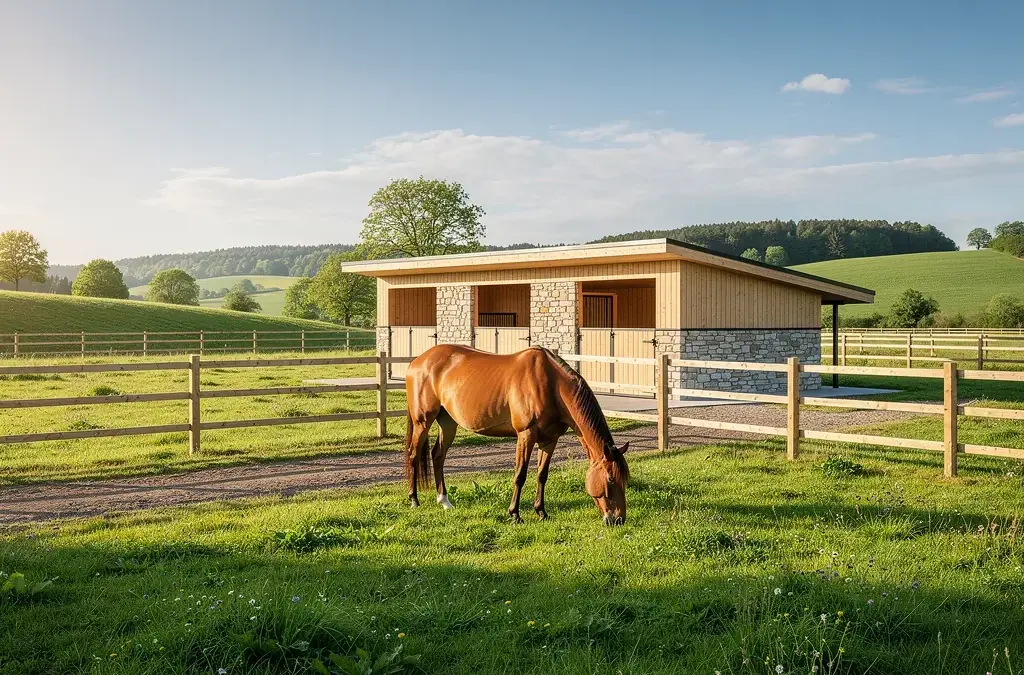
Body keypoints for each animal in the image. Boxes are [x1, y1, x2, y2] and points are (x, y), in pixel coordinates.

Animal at [403, 344, 629, 525]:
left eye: (625, 479)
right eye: (610, 479)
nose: (618, 519)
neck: (551, 384)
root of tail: (417, 361)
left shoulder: (549, 440)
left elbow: (542, 475)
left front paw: (541, 512)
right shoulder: (525, 435)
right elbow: (520, 475)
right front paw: (515, 514)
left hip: (448, 423)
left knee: (438, 455)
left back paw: (444, 501)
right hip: (422, 421)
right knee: (413, 455)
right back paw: (414, 500)